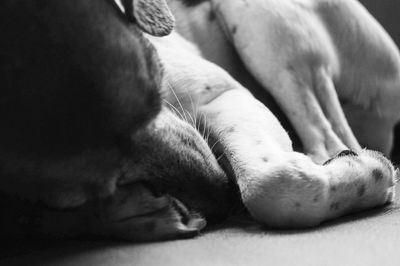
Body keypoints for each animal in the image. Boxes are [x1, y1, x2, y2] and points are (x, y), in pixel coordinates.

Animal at [0, 0, 398, 241]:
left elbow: (273, 184)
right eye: (85, 191)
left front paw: (370, 174)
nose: (223, 199)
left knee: (328, 140)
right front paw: (133, 213)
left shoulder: (224, 94)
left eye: (157, 87)